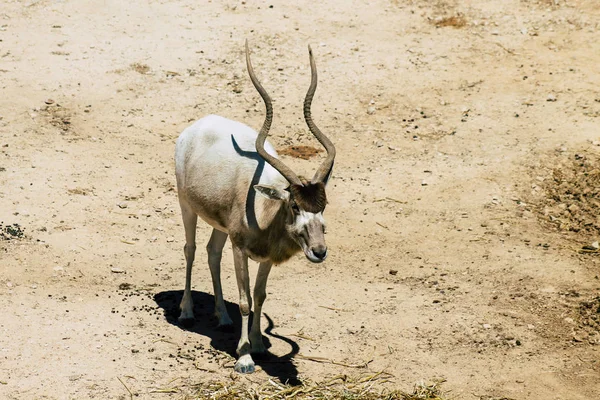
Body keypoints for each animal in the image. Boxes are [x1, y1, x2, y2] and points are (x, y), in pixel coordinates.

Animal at [173, 39, 336, 372]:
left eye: (323, 206)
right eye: (294, 206)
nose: (319, 251)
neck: (264, 210)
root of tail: (197, 126)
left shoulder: (265, 257)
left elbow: (260, 296)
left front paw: (259, 345)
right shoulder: (240, 250)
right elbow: (246, 300)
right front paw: (244, 357)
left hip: (220, 225)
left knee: (212, 252)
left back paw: (223, 317)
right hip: (187, 206)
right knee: (191, 249)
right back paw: (187, 312)